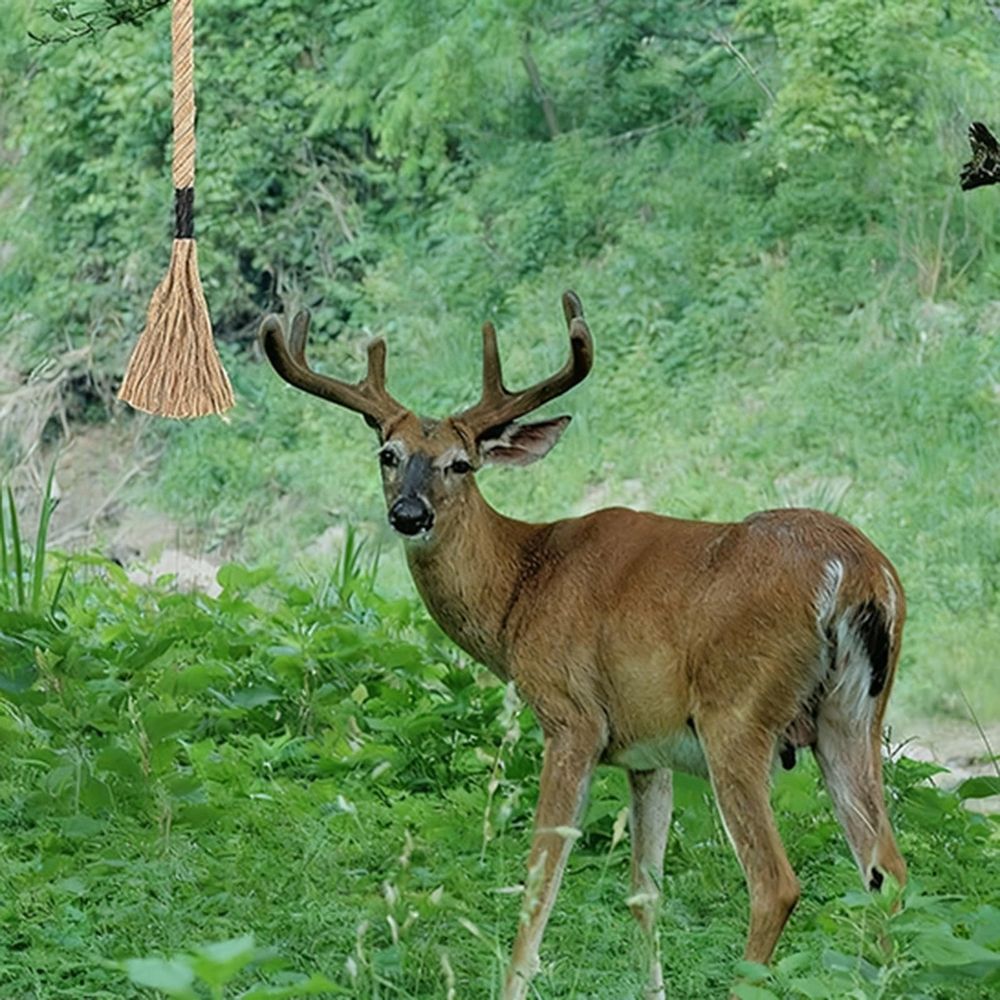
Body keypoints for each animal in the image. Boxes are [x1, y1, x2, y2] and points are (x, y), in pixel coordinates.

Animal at [259, 292, 907, 1000]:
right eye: (388, 454)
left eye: (462, 463)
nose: (409, 515)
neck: (522, 588)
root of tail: (856, 571)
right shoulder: (648, 752)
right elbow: (644, 894)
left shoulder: (572, 717)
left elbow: (541, 878)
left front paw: (514, 981)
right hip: (852, 716)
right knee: (887, 871)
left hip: (737, 711)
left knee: (777, 884)